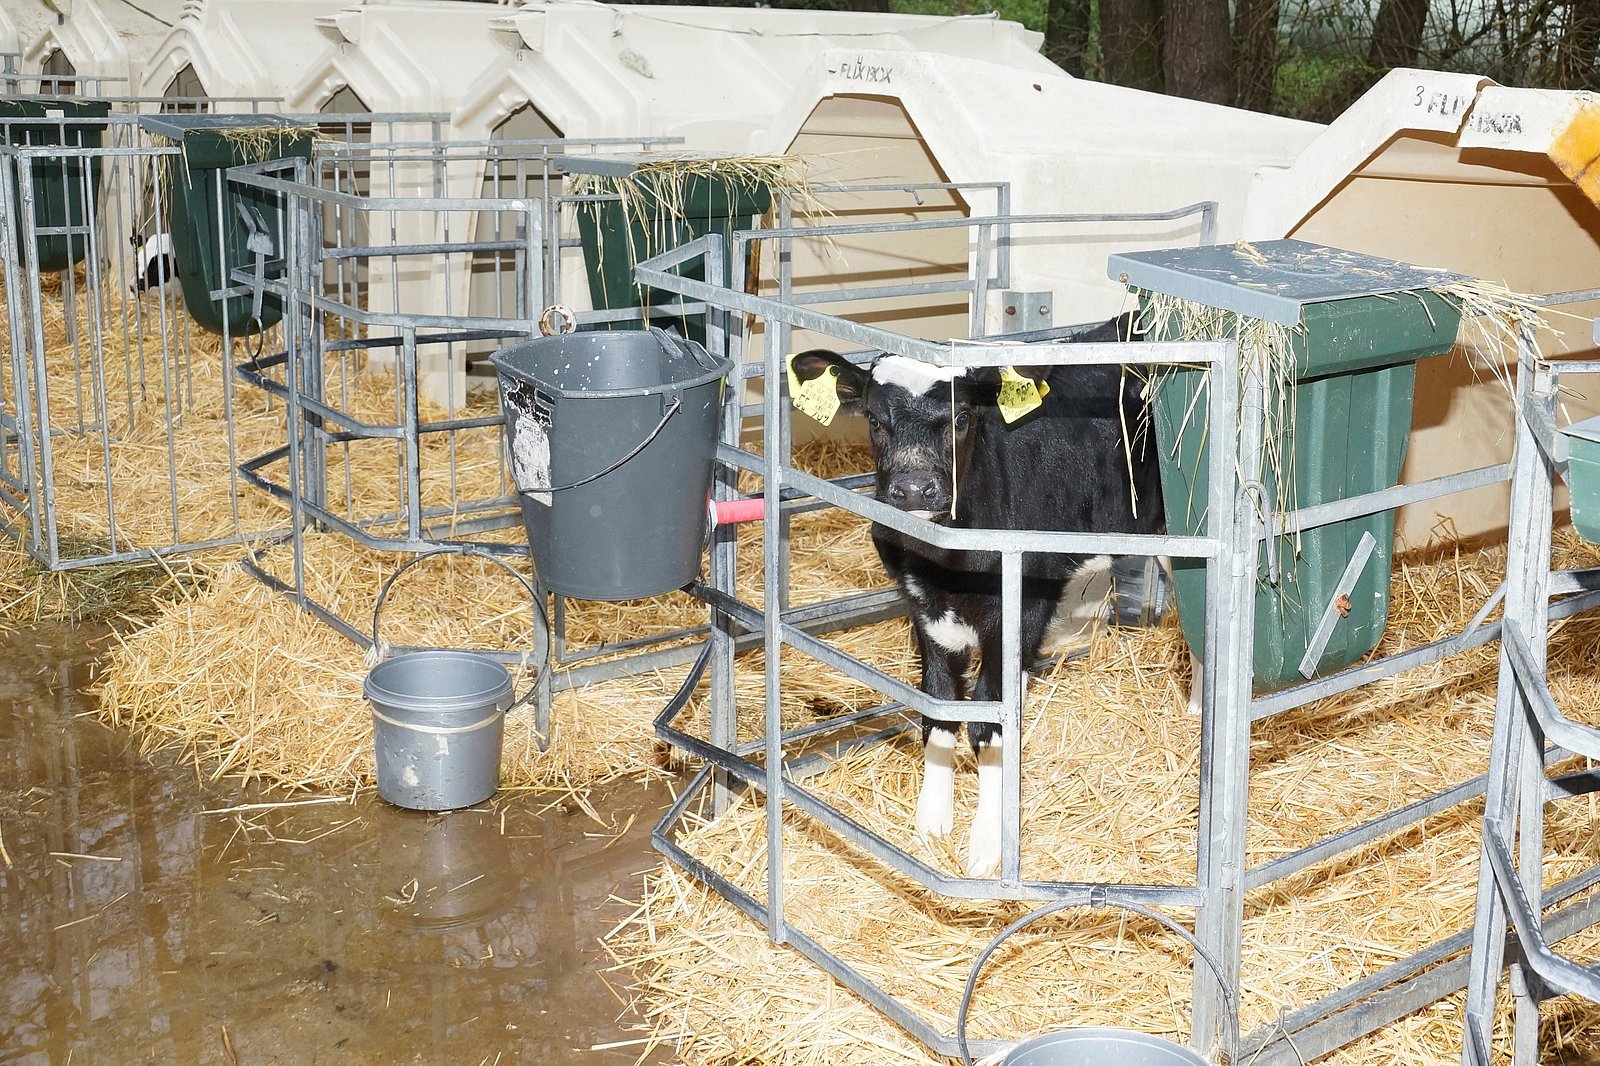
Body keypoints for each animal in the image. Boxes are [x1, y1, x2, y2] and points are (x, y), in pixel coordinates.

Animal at [793, 313, 1171, 870]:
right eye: (875, 419)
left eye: (963, 417)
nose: (914, 488)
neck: (949, 568)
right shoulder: (923, 609)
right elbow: (940, 710)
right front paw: (931, 823)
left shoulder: (1024, 610)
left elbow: (990, 725)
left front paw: (989, 845)